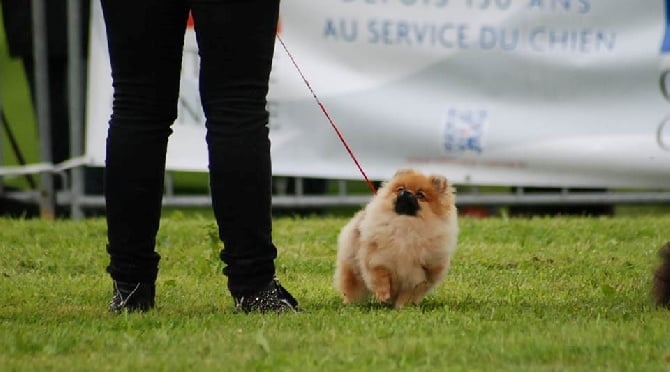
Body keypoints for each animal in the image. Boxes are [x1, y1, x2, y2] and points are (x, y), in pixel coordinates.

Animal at [334, 169, 460, 308]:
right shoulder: (377, 259)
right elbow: (380, 278)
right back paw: (351, 304)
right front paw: (383, 295)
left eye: (420, 195)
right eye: (400, 188)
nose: (406, 192)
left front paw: (402, 307)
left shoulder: (421, 274)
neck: (405, 224)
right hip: (352, 267)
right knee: (352, 287)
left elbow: (409, 293)